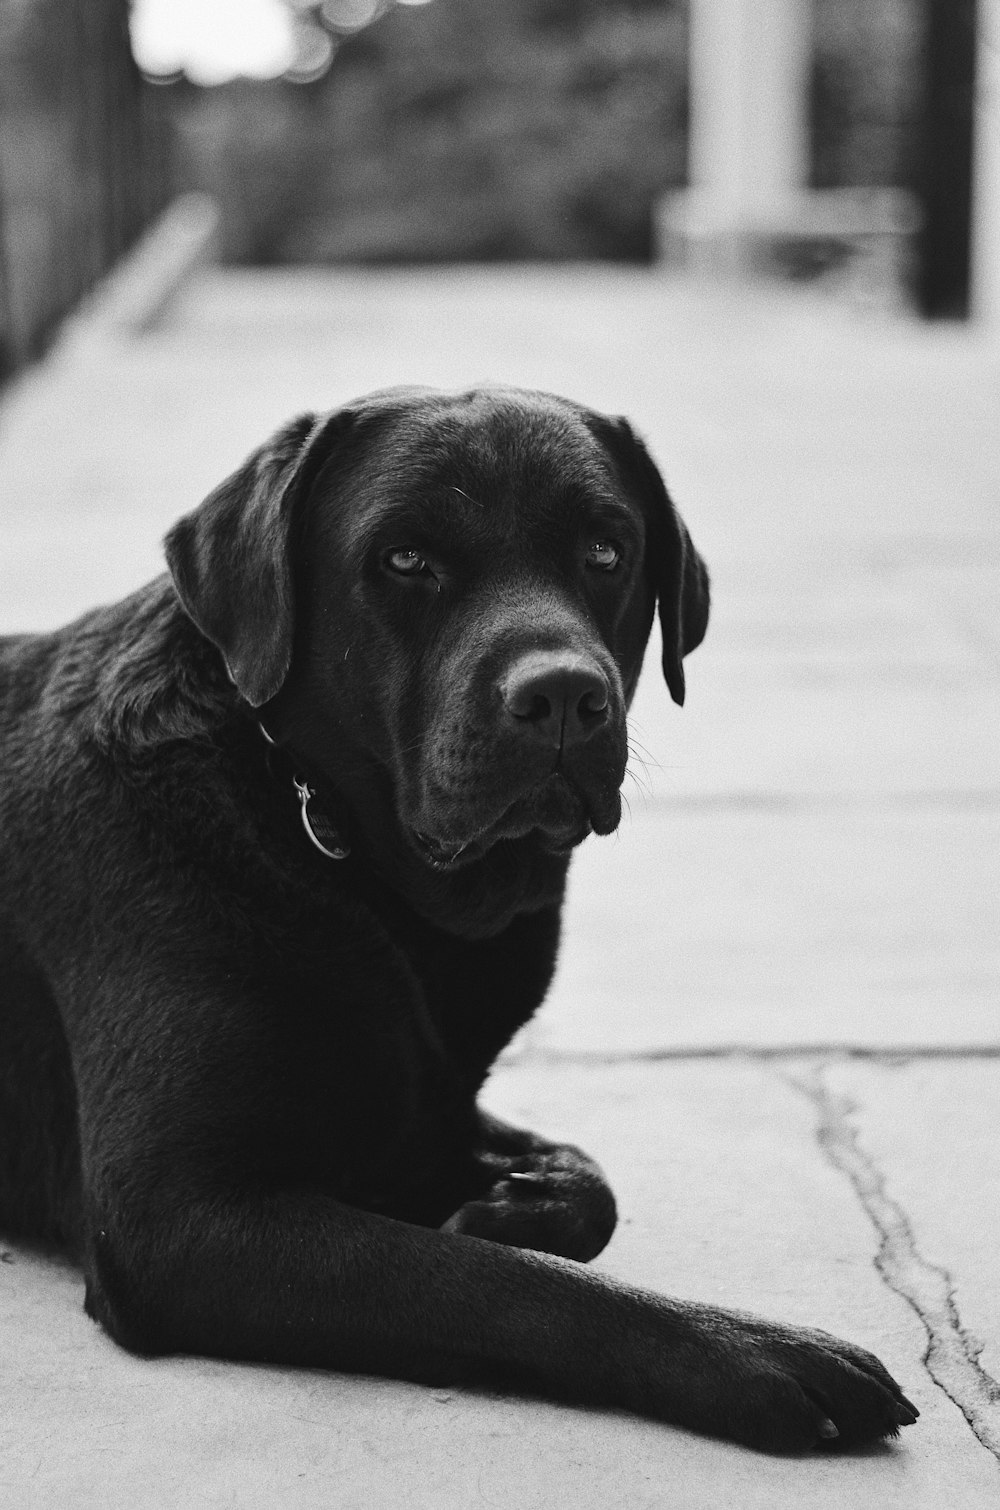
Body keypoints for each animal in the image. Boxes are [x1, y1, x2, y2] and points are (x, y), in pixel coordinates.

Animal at [0, 389, 918, 1449]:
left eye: (606, 551)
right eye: (405, 560)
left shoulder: (429, 1097)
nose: (562, 693)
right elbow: (499, 1284)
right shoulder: (168, 1215)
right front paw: (758, 1352)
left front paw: (521, 1201)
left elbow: (586, 1183)